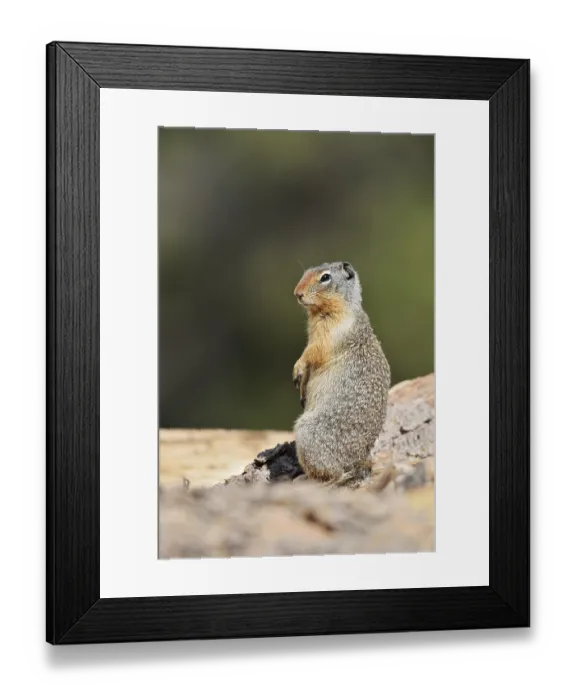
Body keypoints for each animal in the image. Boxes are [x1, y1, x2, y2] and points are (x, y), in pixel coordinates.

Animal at [292, 261, 391, 487]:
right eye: (305, 272)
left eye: (325, 277)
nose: (297, 293)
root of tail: (358, 462)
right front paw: (300, 386)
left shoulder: (331, 334)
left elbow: (313, 352)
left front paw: (297, 368)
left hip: (307, 432)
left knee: (335, 475)